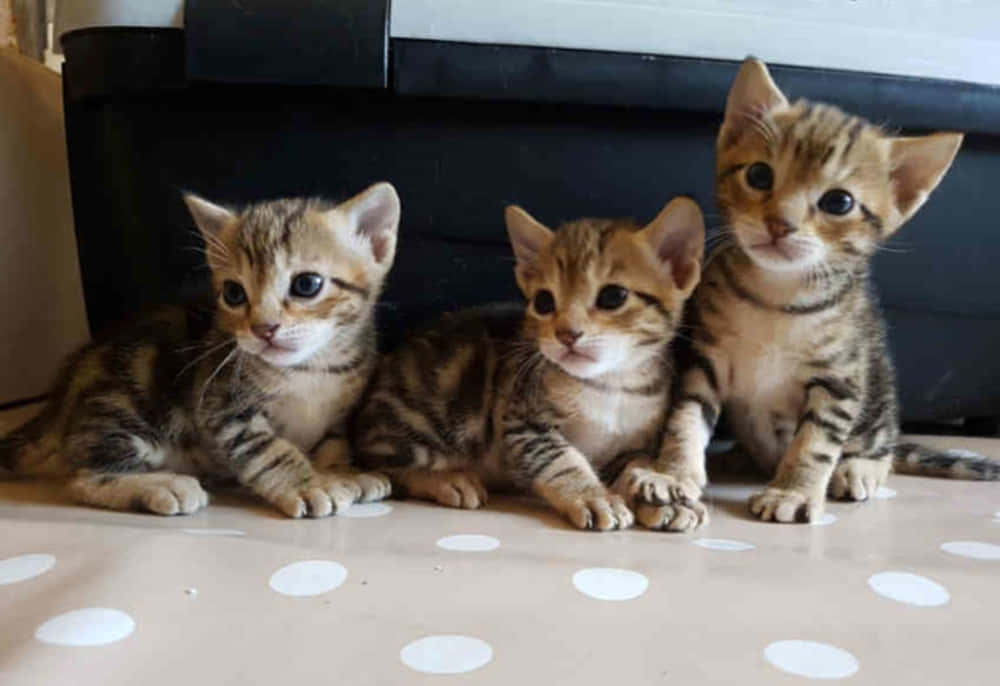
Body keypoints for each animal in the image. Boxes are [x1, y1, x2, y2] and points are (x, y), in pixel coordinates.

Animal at [0, 180, 398, 520]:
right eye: (234, 293)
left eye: (307, 284)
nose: (263, 329)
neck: (312, 369)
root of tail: (60, 400)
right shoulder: (224, 407)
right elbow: (269, 450)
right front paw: (309, 484)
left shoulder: (337, 415)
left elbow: (333, 445)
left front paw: (342, 472)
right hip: (123, 403)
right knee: (83, 476)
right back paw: (162, 484)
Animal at [356, 198, 708, 532]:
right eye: (543, 302)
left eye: (613, 296)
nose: (567, 334)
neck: (611, 384)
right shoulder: (521, 421)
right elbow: (560, 461)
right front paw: (593, 495)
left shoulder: (630, 446)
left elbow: (636, 466)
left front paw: (663, 498)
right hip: (421, 415)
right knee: (381, 464)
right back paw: (446, 479)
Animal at [628, 59, 996, 532]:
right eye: (759, 175)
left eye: (838, 202)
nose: (779, 224)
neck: (776, 296)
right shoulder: (702, 359)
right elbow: (685, 419)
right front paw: (673, 473)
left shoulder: (839, 379)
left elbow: (816, 442)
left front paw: (793, 492)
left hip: (876, 388)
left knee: (882, 445)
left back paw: (858, 469)